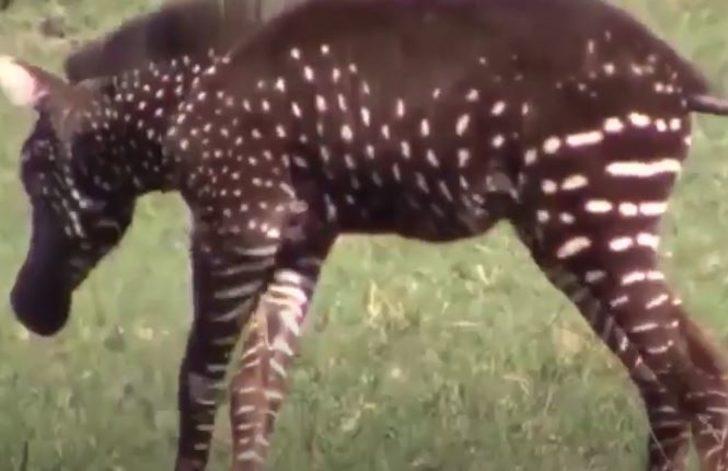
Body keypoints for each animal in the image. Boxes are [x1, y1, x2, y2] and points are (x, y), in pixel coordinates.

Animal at [2, 0, 728, 469]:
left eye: (32, 168)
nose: (29, 308)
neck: (182, 102)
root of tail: (684, 80)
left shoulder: (235, 225)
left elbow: (200, 380)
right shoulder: (297, 240)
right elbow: (256, 393)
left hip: (597, 224)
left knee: (694, 379)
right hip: (576, 236)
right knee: (678, 376)